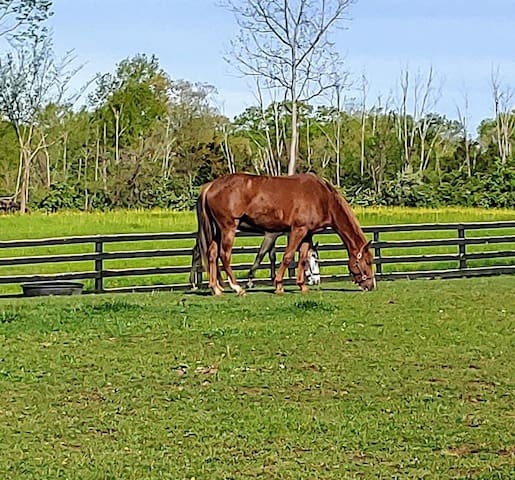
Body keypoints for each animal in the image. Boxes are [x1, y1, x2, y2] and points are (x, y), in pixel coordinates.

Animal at [198, 171, 374, 294]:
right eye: (367, 262)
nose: (371, 286)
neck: (323, 198)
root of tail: (211, 186)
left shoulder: (307, 233)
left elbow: (302, 258)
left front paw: (302, 286)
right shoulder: (298, 230)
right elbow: (288, 257)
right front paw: (279, 285)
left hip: (217, 231)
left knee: (212, 254)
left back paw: (216, 288)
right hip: (228, 228)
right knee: (224, 255)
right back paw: (237, 288)